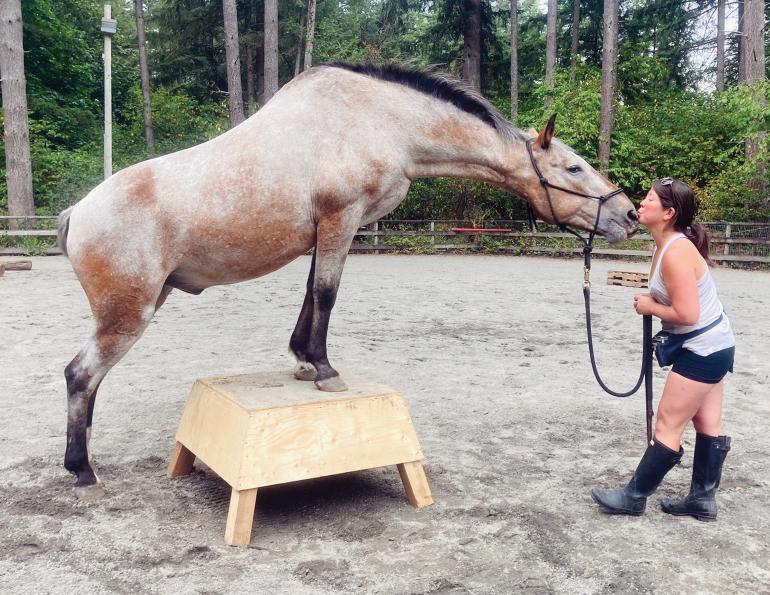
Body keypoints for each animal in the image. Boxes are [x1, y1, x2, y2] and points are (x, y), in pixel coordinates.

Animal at [57, 62, 638, 495]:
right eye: (573, 169)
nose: (629, 214)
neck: (381, 122)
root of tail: (76, 211)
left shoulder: (329, 230)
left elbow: (311, 292)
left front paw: (302, 359)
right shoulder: (342, 218)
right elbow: (327, 292)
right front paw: (323, 368)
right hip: (128, 314)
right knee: (80, 374)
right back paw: (82, 469)